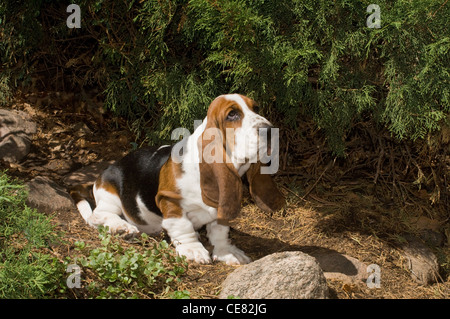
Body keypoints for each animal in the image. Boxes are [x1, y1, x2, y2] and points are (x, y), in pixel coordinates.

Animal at [71, 94, 284, 264]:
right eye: (232, 114)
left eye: (256, 108)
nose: (270, 130)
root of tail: (99, 178)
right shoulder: (170, 201)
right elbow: (183, 226)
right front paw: (193, 249)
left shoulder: (219, 211)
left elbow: (219, 231)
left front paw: (227, 252)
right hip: (110, 196)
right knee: (99, 215)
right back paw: (121, 227)